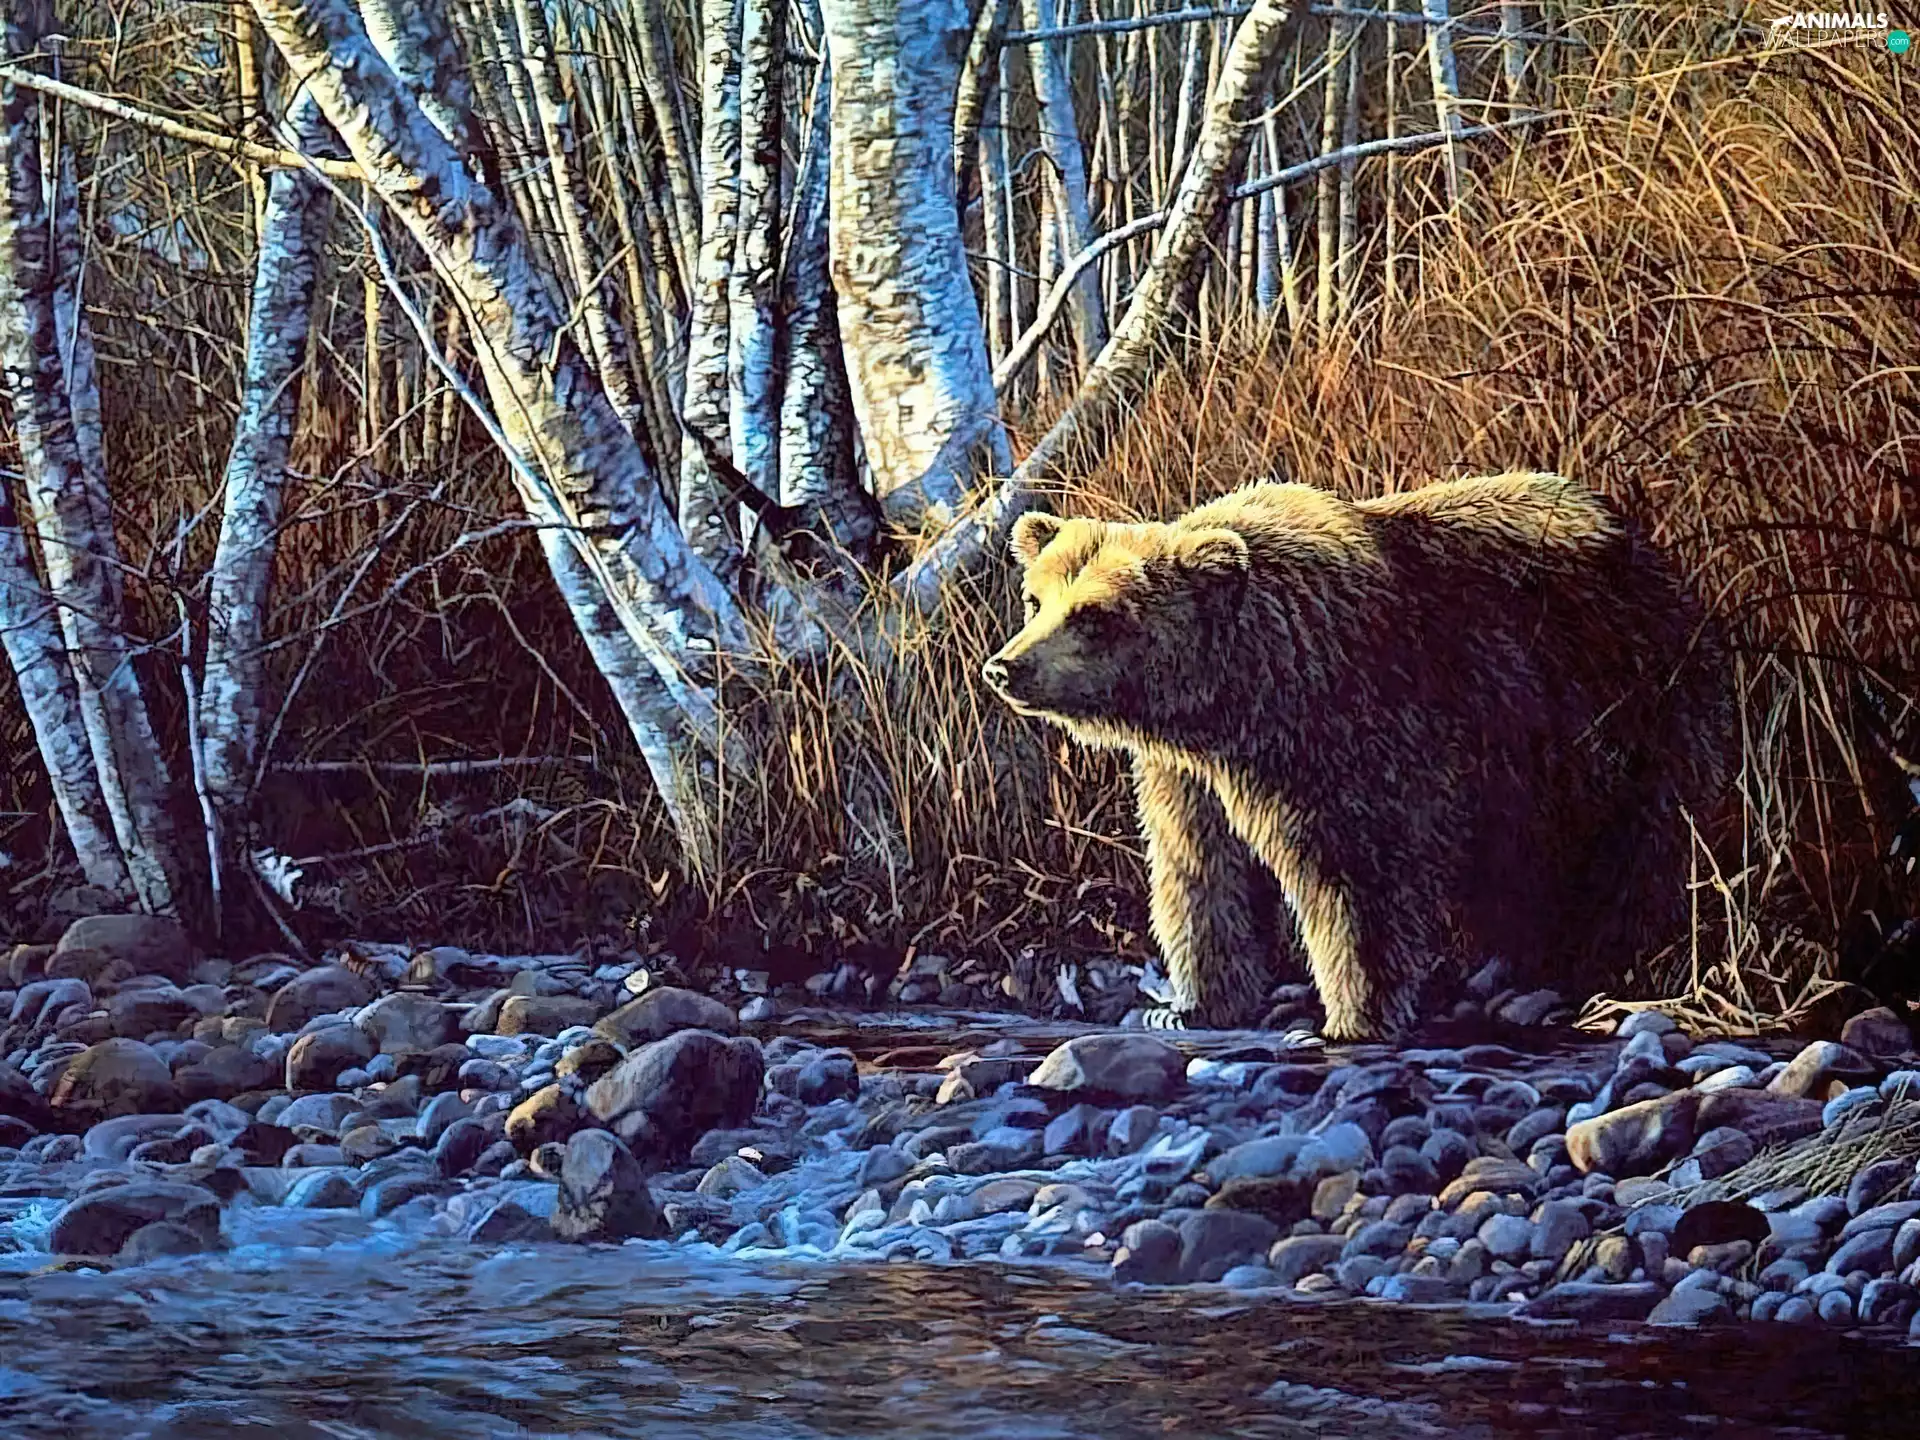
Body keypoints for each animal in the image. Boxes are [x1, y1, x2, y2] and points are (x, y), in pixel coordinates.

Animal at [981, 472, 1730, 1041]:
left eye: (1095, 614)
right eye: (1036, 599)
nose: (1005, 668)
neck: (1234, 701)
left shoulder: (1351, 738)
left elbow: (1358, 880)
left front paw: (1353, 1017)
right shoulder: (1189, 777)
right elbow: (1199, 876)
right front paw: (1192, 1005)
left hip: (1611, 713)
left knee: (1632, 853)